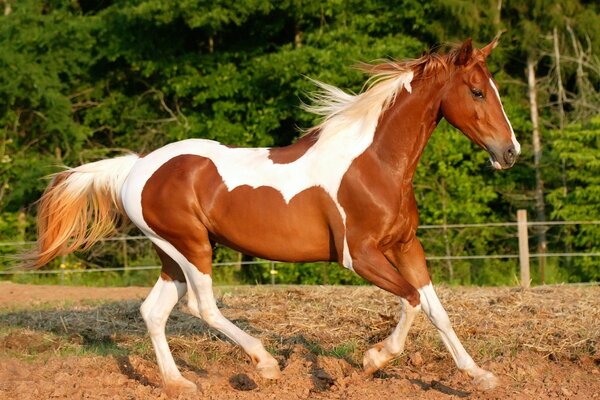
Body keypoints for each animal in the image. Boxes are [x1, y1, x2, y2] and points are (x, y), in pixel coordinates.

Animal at [22, 38, 520, 394]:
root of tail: (136, 166)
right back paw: (265, 364)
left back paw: (179, 382)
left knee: (154, 311)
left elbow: (436, 310)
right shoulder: (359, 255)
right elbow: (412, 300)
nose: (510, 152)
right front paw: (373, 358)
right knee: (201, 306)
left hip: (172, 255)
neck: (374, 164)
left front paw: (480, 376)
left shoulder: (405, 245)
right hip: (192, 248)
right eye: (477, 91)